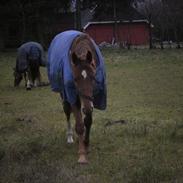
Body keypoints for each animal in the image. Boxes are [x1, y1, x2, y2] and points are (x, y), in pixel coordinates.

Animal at [47, 30, 107, 163]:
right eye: (75, 79)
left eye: (93, 77)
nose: (86, 107)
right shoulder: (73, 96)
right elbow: (79, 125)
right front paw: (82, 153)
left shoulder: (90, 100)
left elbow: (88, 121)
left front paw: (86, 144)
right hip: (64, 95)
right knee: (67, 112)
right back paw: (70, 137)